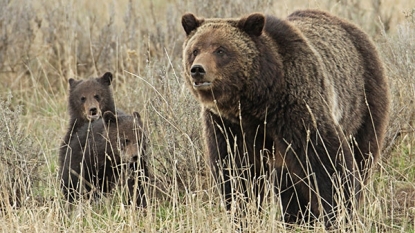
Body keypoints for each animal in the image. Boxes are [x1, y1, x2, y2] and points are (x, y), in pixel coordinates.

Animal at [181, 9, 390, 226]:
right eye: (195, 50)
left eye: (221, 50)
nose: (198, 69)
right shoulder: (227, 124)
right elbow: (236, 170)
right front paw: (243, 214)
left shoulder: (295, 107)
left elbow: (326, 159)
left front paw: (339, 213)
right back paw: (296, 217)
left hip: (363, 100)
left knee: (362, 153)